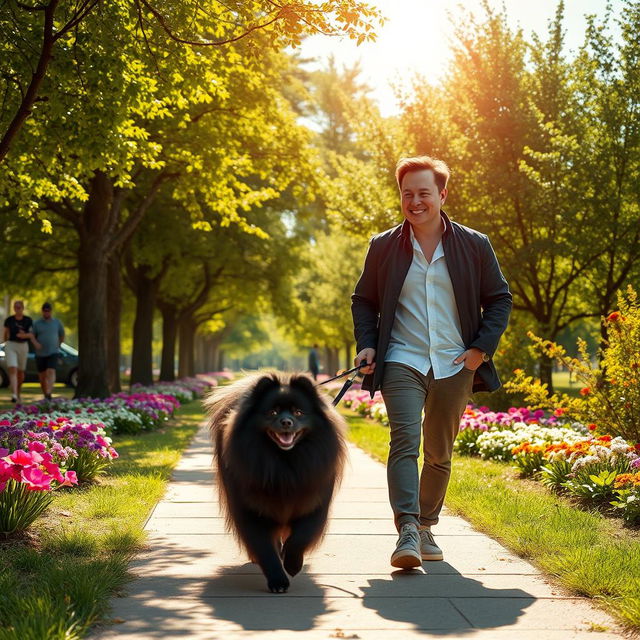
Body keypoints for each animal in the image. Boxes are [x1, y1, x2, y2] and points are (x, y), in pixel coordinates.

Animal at [206, 372, 344, 592]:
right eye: (272, 412)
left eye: (298, 412)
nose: (286, 422)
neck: (284, 465)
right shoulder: (251, 510)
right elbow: (264, 547)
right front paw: (278, 580)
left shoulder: (313, 502)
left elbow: (300, 538)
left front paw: (292, 563)